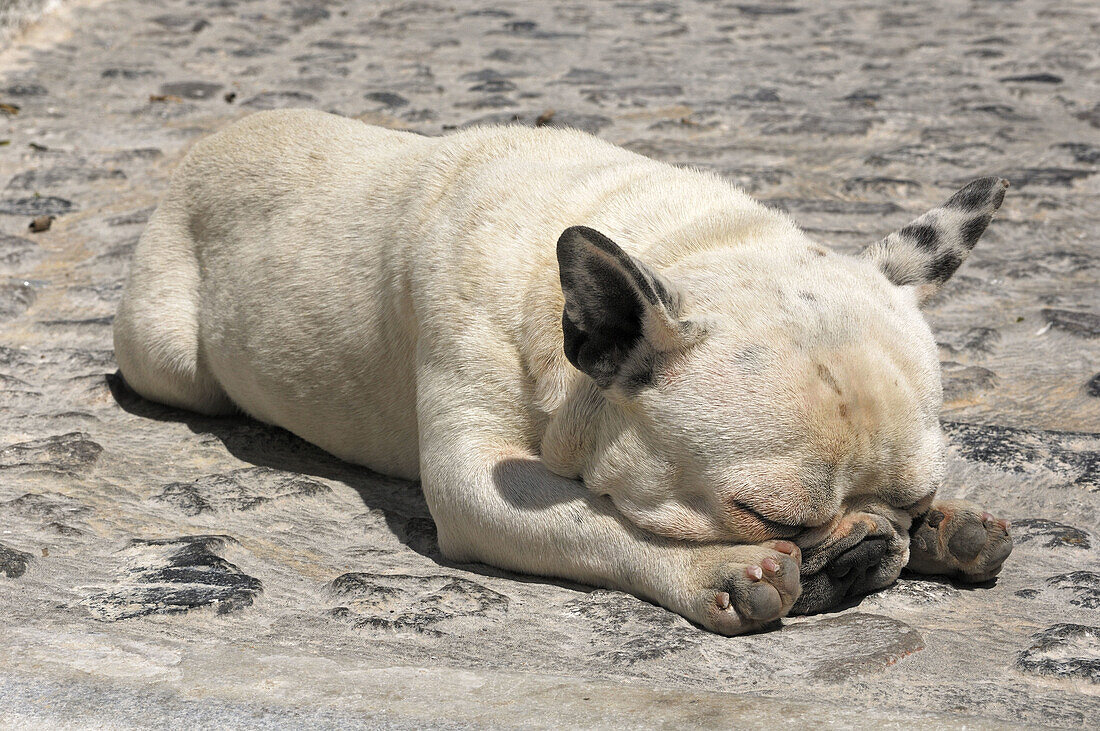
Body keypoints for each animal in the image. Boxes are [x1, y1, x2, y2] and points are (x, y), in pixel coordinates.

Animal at [113, 108, 1012, 633]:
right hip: (166, 358)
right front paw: (715, 569)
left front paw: (949, 530)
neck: (686, 239)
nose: (866, 551)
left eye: (915, 499)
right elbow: (597, 524)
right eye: (766, 516)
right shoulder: (480, 481)